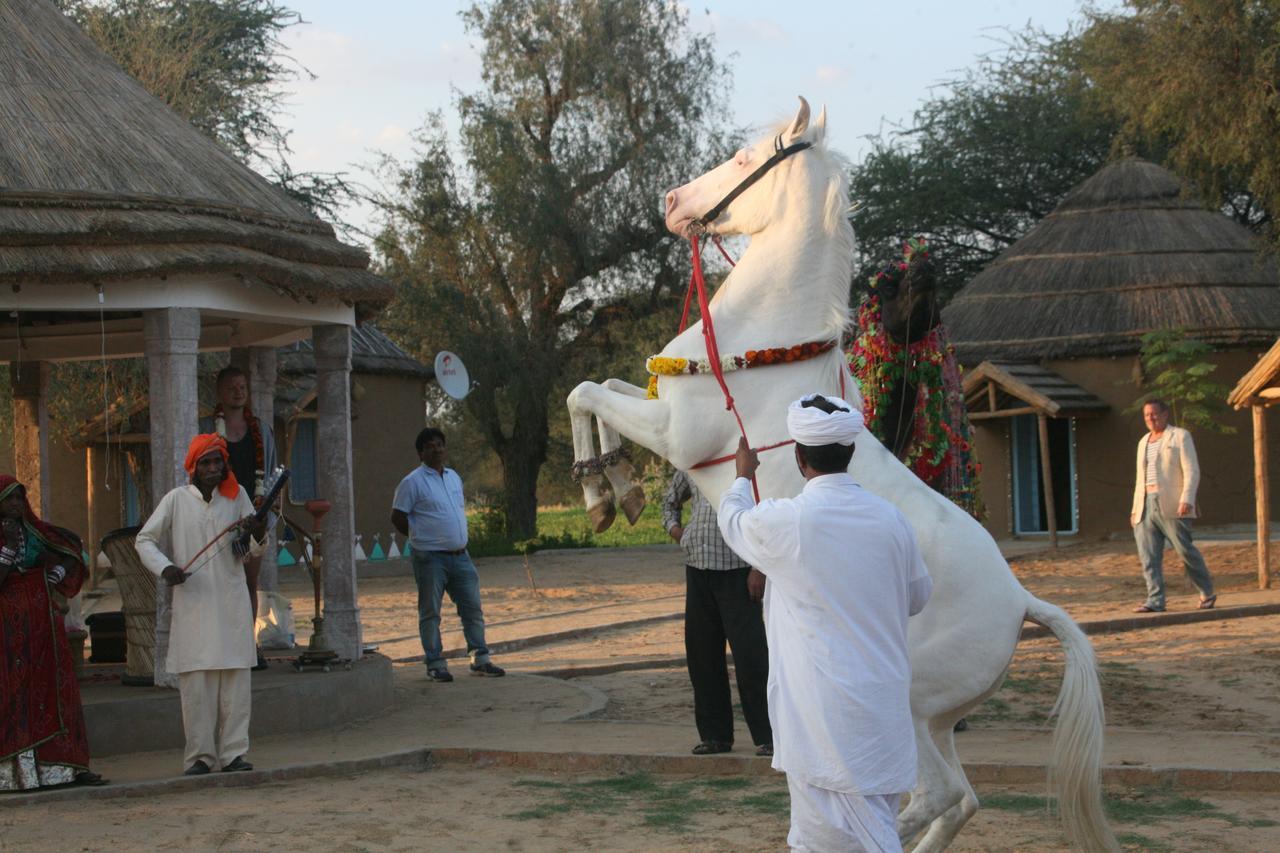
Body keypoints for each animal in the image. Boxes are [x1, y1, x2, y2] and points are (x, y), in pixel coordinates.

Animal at [565, 96, 1116, 845]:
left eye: (744, 156)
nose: (674, 202)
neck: (760, 338)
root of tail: (1023, 603)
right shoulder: (661, 409)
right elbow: (597, 387)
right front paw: (613, 484)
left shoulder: (677, 433)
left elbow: (583, 392)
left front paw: (604, 491)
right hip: (940, 719)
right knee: (962, 799)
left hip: (911, 702)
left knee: (937, 793)